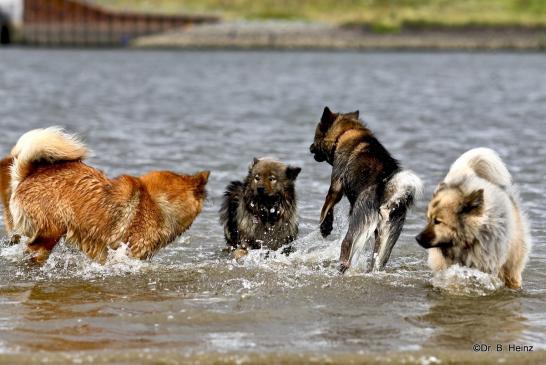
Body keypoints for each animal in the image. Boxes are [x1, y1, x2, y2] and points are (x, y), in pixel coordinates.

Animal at [310, 106, 420, 272]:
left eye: (316, 135)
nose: (310, 148)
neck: (345, 133)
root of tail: (388, 194)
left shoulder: (336, 183)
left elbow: (327, 206)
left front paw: (324, 226)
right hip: (387, 236)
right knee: (378, 261)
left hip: (358, 222)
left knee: (346, 245)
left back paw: (341, 267)